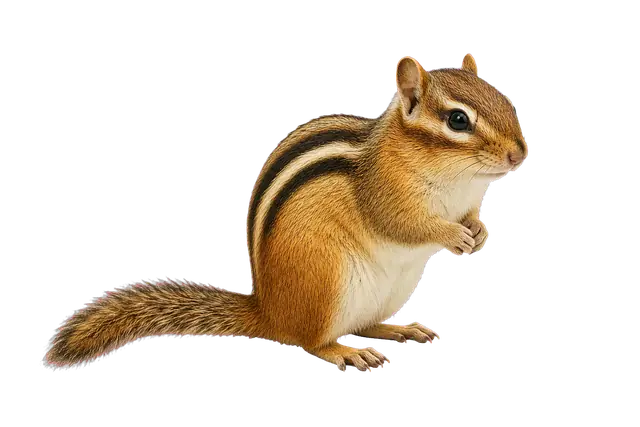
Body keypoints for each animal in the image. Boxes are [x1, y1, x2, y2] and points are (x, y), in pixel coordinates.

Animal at [44, 52, 528, 372]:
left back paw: (397, 330)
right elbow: (405, 225)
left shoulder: (464, 200)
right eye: (458, 120)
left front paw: (479, 232)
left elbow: (469, 216)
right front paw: (451, 235)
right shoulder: (385, 194)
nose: (519, 154)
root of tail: (268, 311)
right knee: (310, 340)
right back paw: (343, 350)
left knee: (365, 322)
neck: (456, 179)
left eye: (503, 98)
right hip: (328, 282)